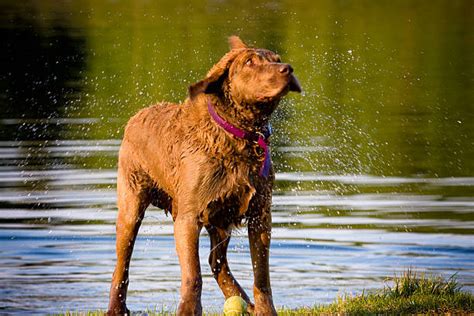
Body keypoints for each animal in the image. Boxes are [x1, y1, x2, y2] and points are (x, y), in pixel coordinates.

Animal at [107, 35, 300, 314]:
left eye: (276, 59)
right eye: (250, 62)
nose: (288, 69)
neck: (238, 137)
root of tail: (136, 115)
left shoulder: (260, 214)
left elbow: (262, 275)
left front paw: (265, 310)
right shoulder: (188, 218)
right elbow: (192, 274)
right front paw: (188, 310)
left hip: (221, 218)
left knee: (216, 261)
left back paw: (242, 300)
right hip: (131, 205)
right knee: (121, 264)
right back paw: (116, 307)